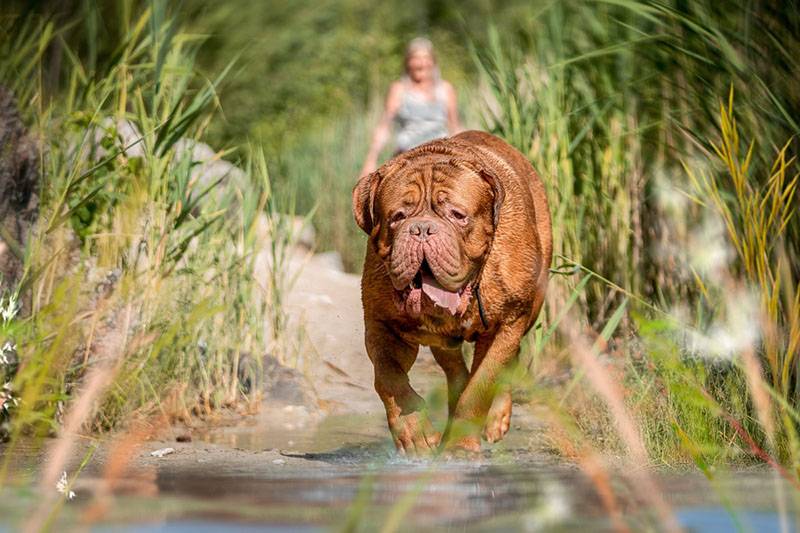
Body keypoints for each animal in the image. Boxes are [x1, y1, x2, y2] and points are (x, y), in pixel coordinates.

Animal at [354, 129, 552, 454]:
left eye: (458, 215)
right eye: (397, 216)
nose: (421, 228)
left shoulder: (506, 324)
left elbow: (480, 386)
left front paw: (459, 445)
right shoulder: (382, 325)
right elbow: (388, 377)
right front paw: (415, 434)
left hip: (529, 310)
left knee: (506, 360)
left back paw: (495, 419)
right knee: (454, 368)